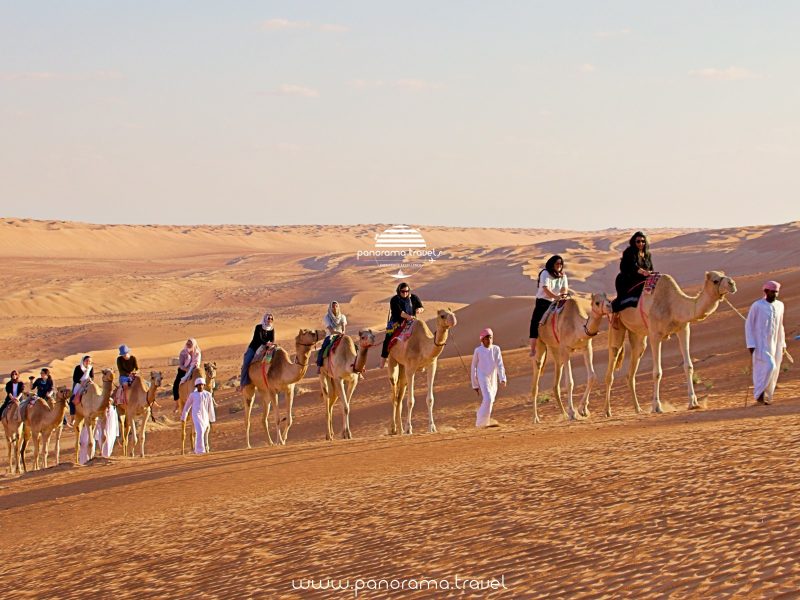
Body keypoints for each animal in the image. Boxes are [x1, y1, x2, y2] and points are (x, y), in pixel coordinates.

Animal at [532, 292, 612, 422]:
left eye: (608, 299)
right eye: (597, 302)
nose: (610, 306)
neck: (578, 327)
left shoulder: (587, 347)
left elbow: (592, 376)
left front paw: (583, 410)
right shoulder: (565, 349)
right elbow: (569, 382)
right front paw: (572, 412)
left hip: (555, 349)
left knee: (556, 382)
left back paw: (563, 414)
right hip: (539, 343)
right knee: (536, 377)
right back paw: (536, 418)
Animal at [608, 272, 736, 418]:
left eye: (723, 274)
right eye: (715, 280)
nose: (732, 284)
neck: (673, 305)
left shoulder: (683, 329)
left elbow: (688, 366)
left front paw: (693, 403)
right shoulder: (655, 335)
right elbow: (657, 372)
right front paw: (657, 406)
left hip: (638, 335)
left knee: (631, 370)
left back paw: (638, 409)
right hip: (616, 324)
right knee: (612, 361)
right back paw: (606, 411)